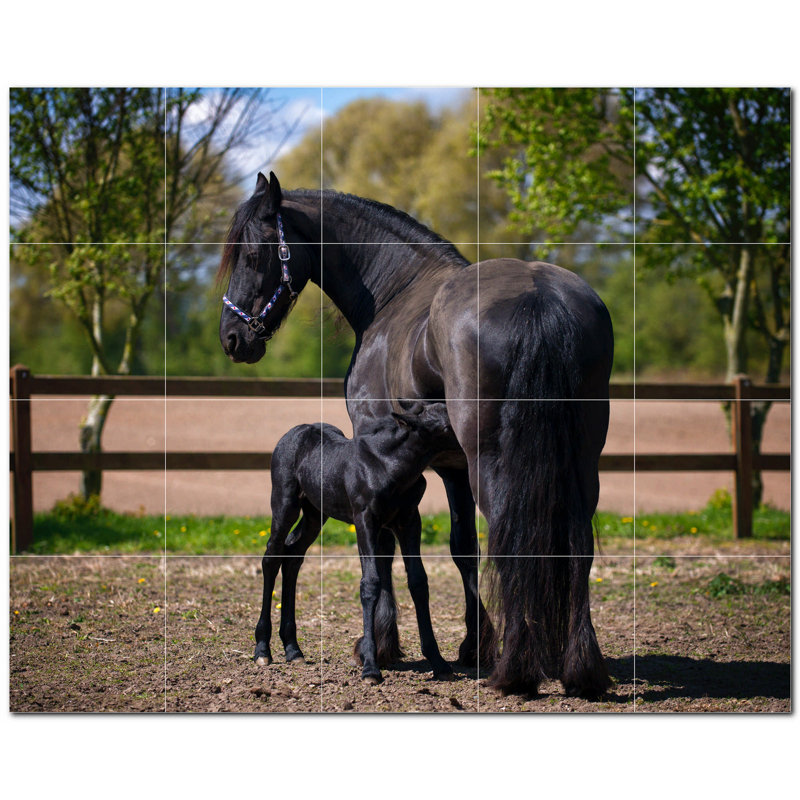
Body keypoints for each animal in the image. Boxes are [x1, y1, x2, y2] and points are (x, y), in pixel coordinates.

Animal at [254, 401, 456, 683]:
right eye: (446, 426)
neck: (388, 466)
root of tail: (294, 432)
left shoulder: (409, 521)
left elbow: (418, 581)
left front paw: (438, 661)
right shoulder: (365, 520)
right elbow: (370, 584)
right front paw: (370, 667)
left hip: (316, 513)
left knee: (293, 555)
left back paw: (293, 649)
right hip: (285, 504)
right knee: (272, 557)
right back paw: (262, 649)